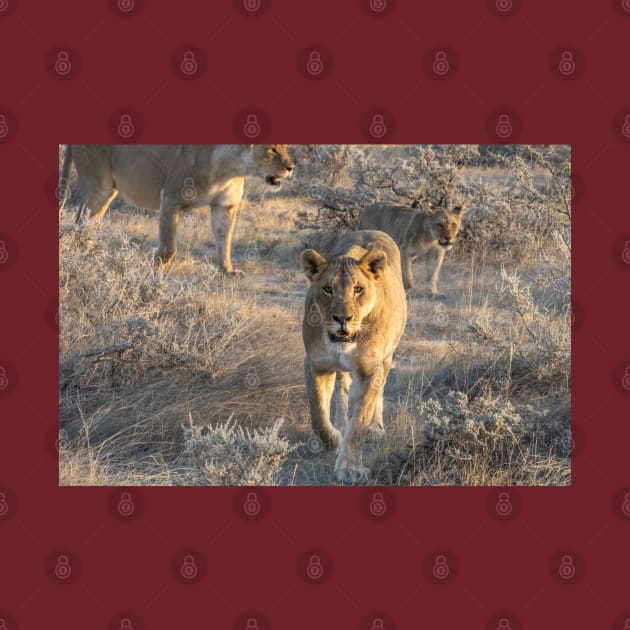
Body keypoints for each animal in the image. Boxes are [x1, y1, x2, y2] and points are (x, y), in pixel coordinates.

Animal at [59, 146, 296, 274]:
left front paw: (227, 270)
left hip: (108, 192)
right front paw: (154, 278)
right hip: (99, 185)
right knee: (80, 221)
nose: (291, 167)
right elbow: (168, 249)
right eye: (272, 149)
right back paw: (86, 257)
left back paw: (92, 255)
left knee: (88, 222)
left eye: (285, 145)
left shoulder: (225, 205)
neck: (230, 169)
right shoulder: (171, 198)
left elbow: (224, 240)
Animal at [302, 230, 410, 486]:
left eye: (358, 289)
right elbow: (318, 416)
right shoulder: (316, 365)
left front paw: (350, 468)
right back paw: (341, 423)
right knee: (343, 389)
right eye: (327, 289)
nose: (343, 318)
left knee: (377, 395)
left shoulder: (370, 370)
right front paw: (335, 439)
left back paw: (376, 427)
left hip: (387, 357)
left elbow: (360, 420)